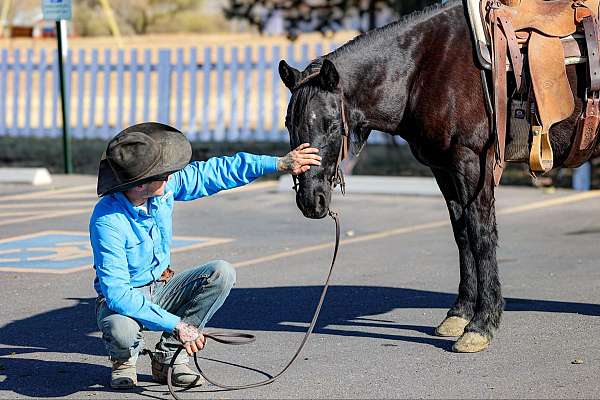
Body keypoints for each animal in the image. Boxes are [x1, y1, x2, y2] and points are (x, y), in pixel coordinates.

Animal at [278, 0, 592, 352]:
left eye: (332, 125)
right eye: (289, 124)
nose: (310, 201)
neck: (426, 67)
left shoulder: (473, 164)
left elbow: (481, 234)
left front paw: (481, 325)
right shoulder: (444, 169)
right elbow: (462, 234)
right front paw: (459, 314)